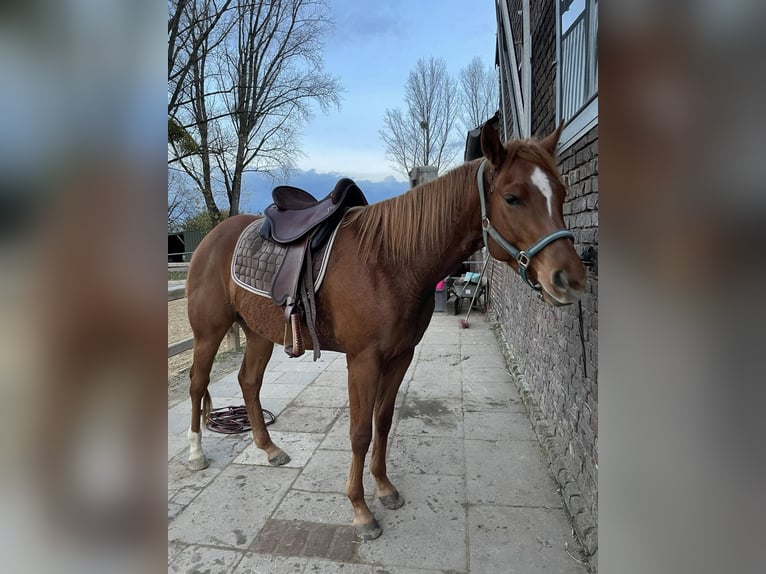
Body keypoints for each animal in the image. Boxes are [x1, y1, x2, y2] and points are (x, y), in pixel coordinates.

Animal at [184, 122, 586, 540]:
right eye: (512, 197)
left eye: (561, 193)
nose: (570, 279)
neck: (391, 261)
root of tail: (212, 238)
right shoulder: (363, 361)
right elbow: (360, 431)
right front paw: (361, 510)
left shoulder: (400, 355)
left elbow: (384, 421)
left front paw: (384, 488)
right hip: (209, 332)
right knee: (197, 384)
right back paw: (196, 453)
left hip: (260, 333)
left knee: (248, 382)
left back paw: (269, 448)